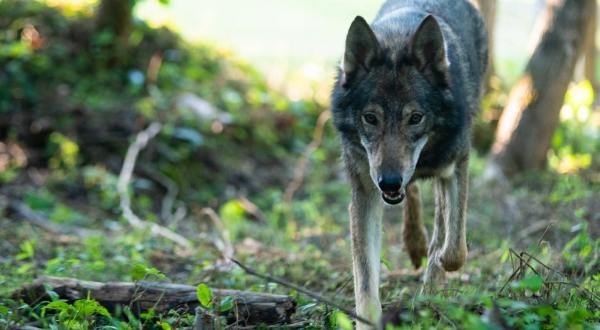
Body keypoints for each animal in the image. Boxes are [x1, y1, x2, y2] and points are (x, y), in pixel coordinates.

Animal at [332, 0, 488, 326]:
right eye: (370, 118)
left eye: (415, 118)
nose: (389, 181)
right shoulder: (365, 192)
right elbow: (365, 281)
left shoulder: (457, 164)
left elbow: (454, 249)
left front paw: (437, 268)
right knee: (414, 194)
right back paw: (415, 241)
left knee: (441, 219)